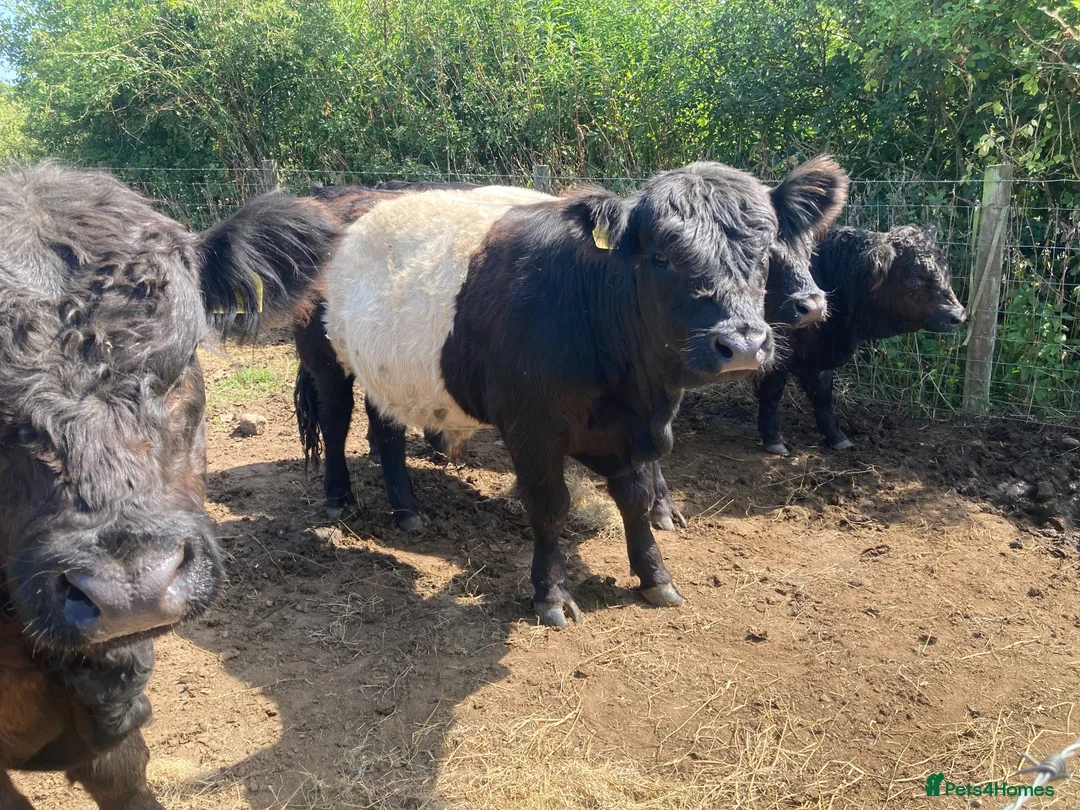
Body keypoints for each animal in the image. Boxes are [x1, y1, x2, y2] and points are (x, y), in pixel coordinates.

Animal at [293, 158, 847, 627]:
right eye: (662, 256)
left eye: (764, 252)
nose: (744, 344)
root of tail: (334, 193)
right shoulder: (532, 429)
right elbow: (548, 506)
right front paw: (552, 594)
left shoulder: (631, 430)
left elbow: (636, 499)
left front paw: (655, 577)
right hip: (325, 357)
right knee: (336, 421)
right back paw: (339, 499)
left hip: (387, 369)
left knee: (385, 430)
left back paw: (407, 509)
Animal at [756, 224, 966, 455]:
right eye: (914, 278)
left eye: (945, 270)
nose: (957, 315)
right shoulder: (778, 353)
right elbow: (772, 392)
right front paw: (773, 439)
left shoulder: (818, 356)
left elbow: (823, 396)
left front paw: (837, 437)